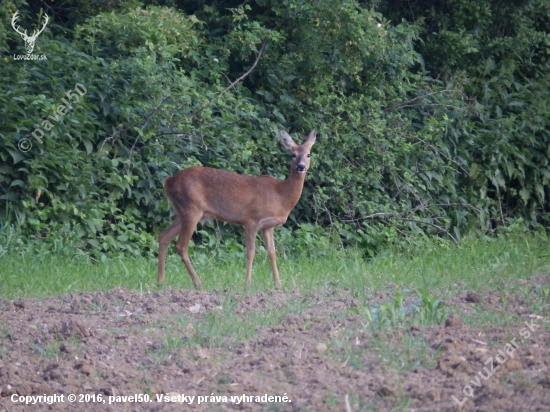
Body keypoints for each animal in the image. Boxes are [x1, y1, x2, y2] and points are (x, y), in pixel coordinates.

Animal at [157, 130, 316, 290]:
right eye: (293, 155)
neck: (281, 196)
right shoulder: (251, 219)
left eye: (308, 154)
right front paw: (247, 284)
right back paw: (197, 282)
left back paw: (161, 281)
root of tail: (169, 181)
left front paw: (278, 285)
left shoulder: (268, 226)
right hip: (191, 209)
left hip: (181, 212)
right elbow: (251, 252)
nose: (301, 167)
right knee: (181, 246)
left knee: (163, 237)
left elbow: (272, 252)